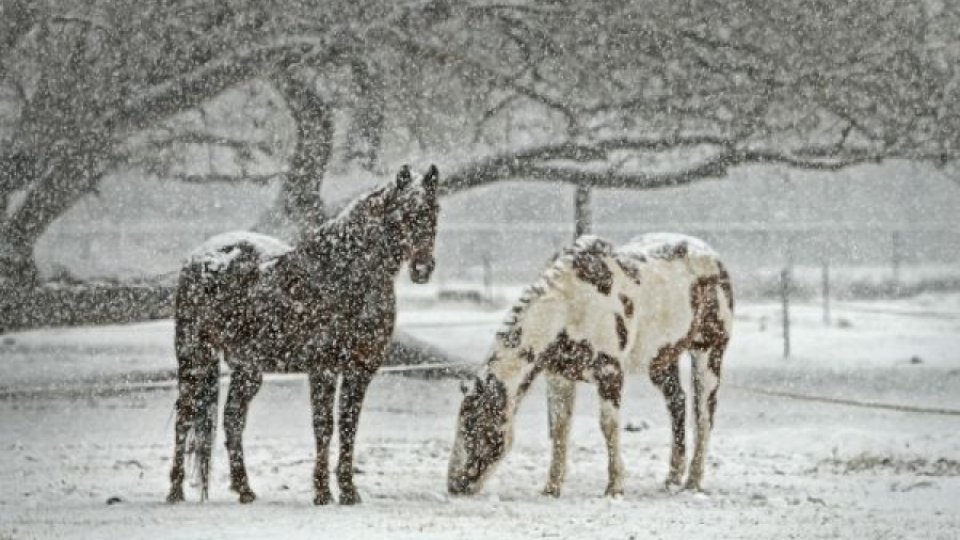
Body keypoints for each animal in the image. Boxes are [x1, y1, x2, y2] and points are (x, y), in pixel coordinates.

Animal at [167, 165, 440, 506]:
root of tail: (200, 257)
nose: (422, 268)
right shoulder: (323, 368)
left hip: (247, 369)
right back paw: (175, 490)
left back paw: (245, 489)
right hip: (195, 357)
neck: (346, 275)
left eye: (434, 210)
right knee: (184, 417)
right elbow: (324, 426)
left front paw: (349, 491)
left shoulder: (360, 370)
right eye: (402, 214)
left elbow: (348, 426)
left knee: (232, 419)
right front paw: (322, 491)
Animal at [446, 235, 732, 498]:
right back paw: (672, 478)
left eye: (475, 426)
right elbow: (560, 428)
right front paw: (552, 488)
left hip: (708, 352)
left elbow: (608, 427)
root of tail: (714, 257)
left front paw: (615, 487)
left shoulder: (610, 374)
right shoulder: (559, 376)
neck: (570, 307)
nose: (454, 485)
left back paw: (693, 482)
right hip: (661, 360)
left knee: (704, 415)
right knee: (678, 404)